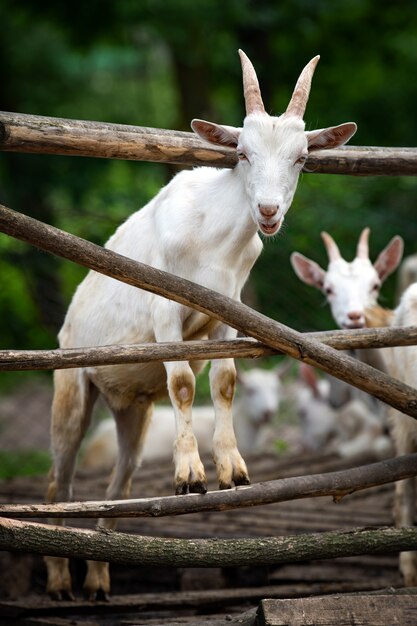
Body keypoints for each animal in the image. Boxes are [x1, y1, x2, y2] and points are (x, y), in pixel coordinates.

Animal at [46, 50, 358, 600]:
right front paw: (190, 476)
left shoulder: (229, 309)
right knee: (59, 481)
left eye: (302, 158)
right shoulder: (164, 310)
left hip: (132, 411)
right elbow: (184, 383)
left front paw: (233, 470)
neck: (214, 237)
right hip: (72, 381)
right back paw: (62, 582)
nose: (268, 212)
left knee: (120, 482)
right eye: (242, 153)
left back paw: (99, 581)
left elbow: (226, 380)